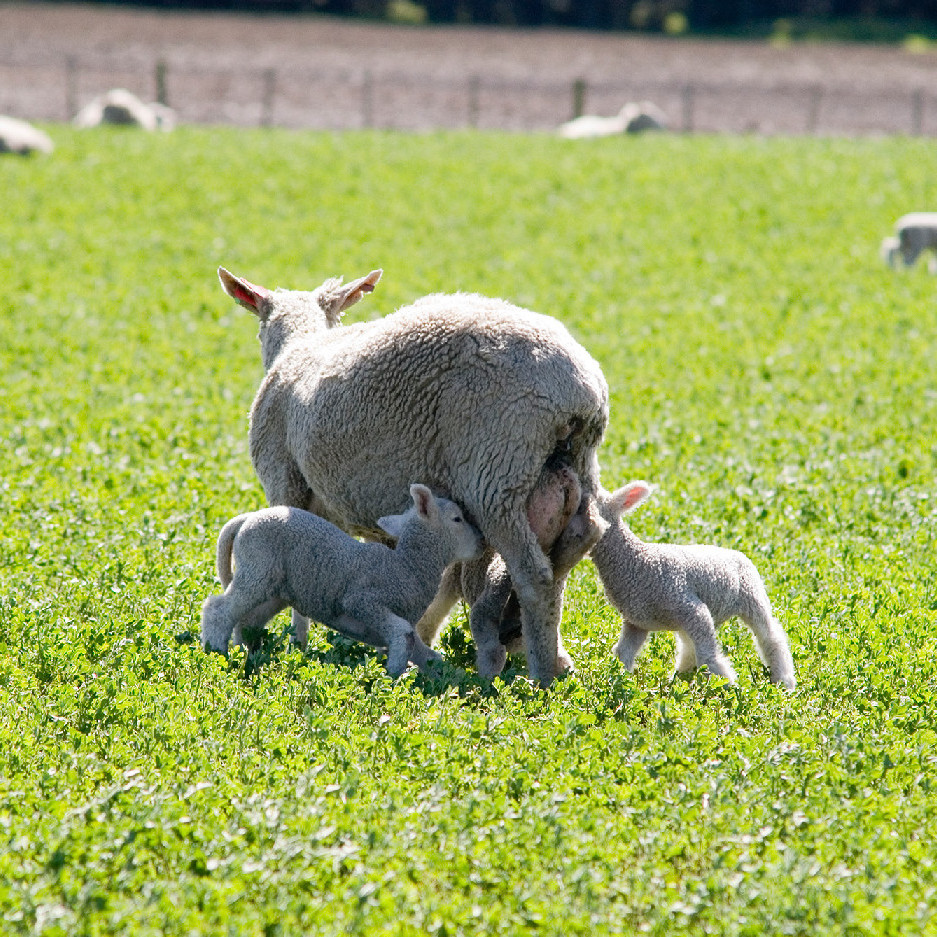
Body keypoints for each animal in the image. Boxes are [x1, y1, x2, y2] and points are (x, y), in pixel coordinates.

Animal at [200, 483, 484, 677]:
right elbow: (401, 632)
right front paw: (392, 675)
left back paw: (249, 655)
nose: (481, 541)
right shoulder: (363, 601)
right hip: (257, 568)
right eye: (457, 519)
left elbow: (427, 654)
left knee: (246, 620)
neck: (407, 567)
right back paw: (216, 653)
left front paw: (451, 680)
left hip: (274, 587)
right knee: (219, 609)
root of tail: (247, 518)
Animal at [562, 482, 796, 690]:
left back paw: (784, 680)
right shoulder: (636, 621)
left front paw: (727, 687)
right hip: (683, 619)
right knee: (688, 645)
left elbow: (709, 656)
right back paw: (681, 677)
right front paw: (617, 682)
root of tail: (737, 552)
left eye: (584, 505)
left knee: (770, 636)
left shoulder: (690, 606)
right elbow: (623, 653)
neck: (636, 562)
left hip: (752, 596)